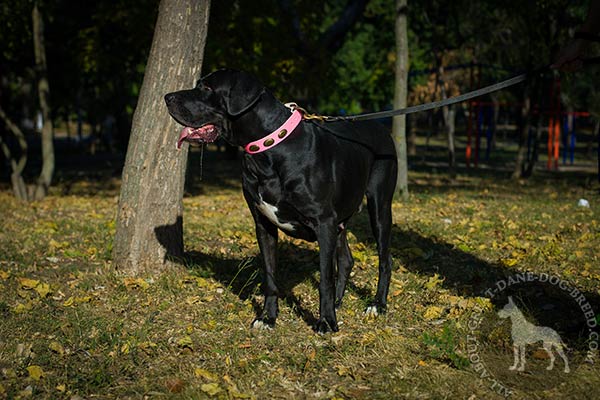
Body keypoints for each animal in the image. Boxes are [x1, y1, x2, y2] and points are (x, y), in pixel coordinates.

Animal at [164, 70, 398, 332]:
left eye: (206, 88)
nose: (167, 97)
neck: (270, 148)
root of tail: (380, 127)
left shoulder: (324, 222)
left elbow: (325, 278)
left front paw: (326, 321)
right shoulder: (263, 224)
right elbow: (270, 275)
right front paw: (268, 317)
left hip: (379, 206)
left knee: (385, 259)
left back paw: (377, 305)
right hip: (341, 218)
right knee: (346, 260)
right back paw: (339, 302)